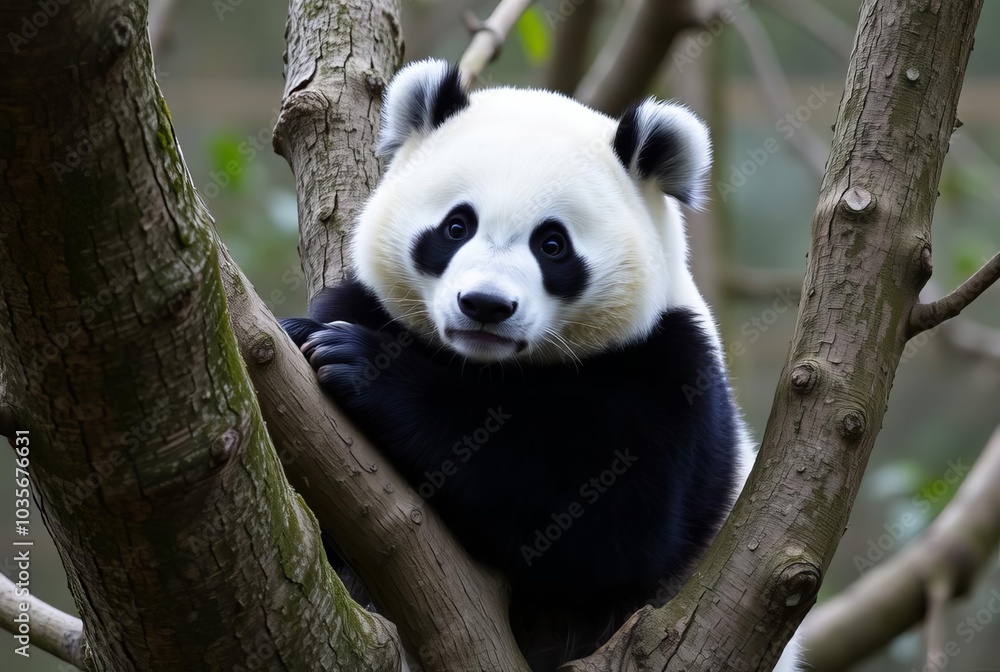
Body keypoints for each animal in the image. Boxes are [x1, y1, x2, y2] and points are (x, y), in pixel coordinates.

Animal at [281, 59, 801, 672]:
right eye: (456, 226)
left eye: (552, 244)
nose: (485, 305)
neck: (490, 365)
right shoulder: (372, 303)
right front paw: (301, 336)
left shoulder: (670, 368)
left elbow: (605, 516)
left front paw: (362, 368)